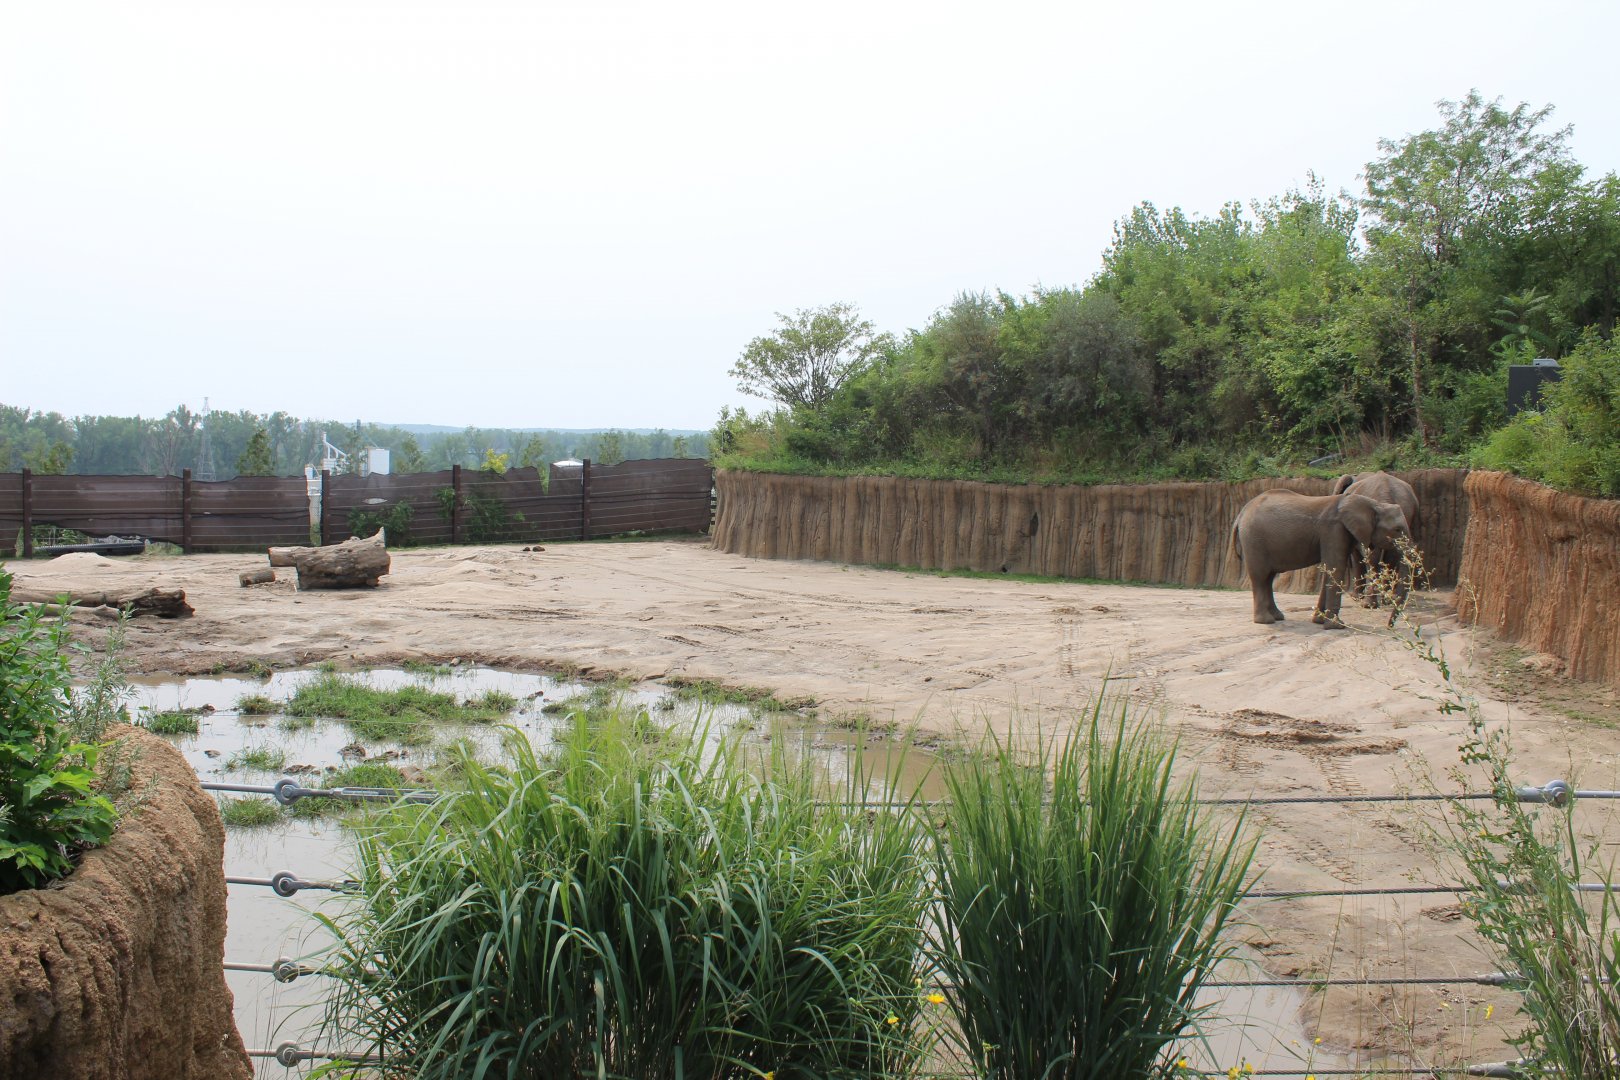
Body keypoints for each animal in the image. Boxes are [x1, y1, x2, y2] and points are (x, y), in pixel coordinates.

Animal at [1230, 489, 1411, 629]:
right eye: (1397, 529)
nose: (1389, 627)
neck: (1373, 503)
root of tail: (1241, 514)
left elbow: (1330, 570)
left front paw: (1319, 621)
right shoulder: (1334, 529)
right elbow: (1336, 568)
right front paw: (1337, 626)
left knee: (1268, 577)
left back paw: (1277, 617)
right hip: (1254, 540)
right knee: (1261, 577)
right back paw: (1266, 621)